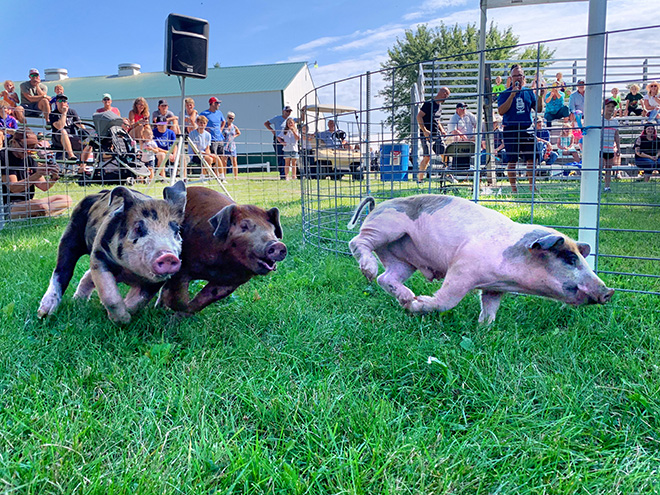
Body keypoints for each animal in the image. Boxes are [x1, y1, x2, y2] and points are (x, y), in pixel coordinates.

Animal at [37, 181, 187, 324]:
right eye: (138, 228)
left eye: (177, 231)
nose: (168, 256)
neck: (128, 272)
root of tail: (100, 193)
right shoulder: (99, 255)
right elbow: (109, 294)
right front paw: (122, 320)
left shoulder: (157, 281)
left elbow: (139, 301)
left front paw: (126, 311)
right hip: (71, 233)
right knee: (62, 270)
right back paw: (44, 314)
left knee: (86, 276)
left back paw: (78, 301)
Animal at [157, 186, 287, 314]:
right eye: (244, 226)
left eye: (272, 229)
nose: (277, 244)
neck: (222, 265)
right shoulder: (182, 268)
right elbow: (179, 298)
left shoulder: (230, 282)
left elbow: (203, 300)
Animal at [347, 194, 614, 324]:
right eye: (570, 259)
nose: (608, 292)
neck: (511, 278)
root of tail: (376, 206)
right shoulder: (462, 268)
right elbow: (447, 300)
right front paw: (417, 306)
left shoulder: (495, 288)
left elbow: (490, 308)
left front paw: (484, 329)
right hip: (385, 228)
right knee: (357, 242)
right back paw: (373, 273)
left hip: (403, 260)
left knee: (386, 278)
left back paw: (404, 297)